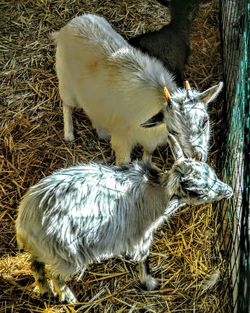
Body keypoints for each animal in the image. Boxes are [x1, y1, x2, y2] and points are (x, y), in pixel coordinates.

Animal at [15, 133, 232, 302]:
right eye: (198, 192)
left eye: (212, 174)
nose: (229, 191)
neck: (157, 193)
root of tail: (26, 219)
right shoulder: (141, 235)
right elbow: (144, 258)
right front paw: (149, 282)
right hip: (66, 255)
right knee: (55, 275)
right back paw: (67, 296)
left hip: (44, 250)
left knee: (36, 266)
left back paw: (44, 290)